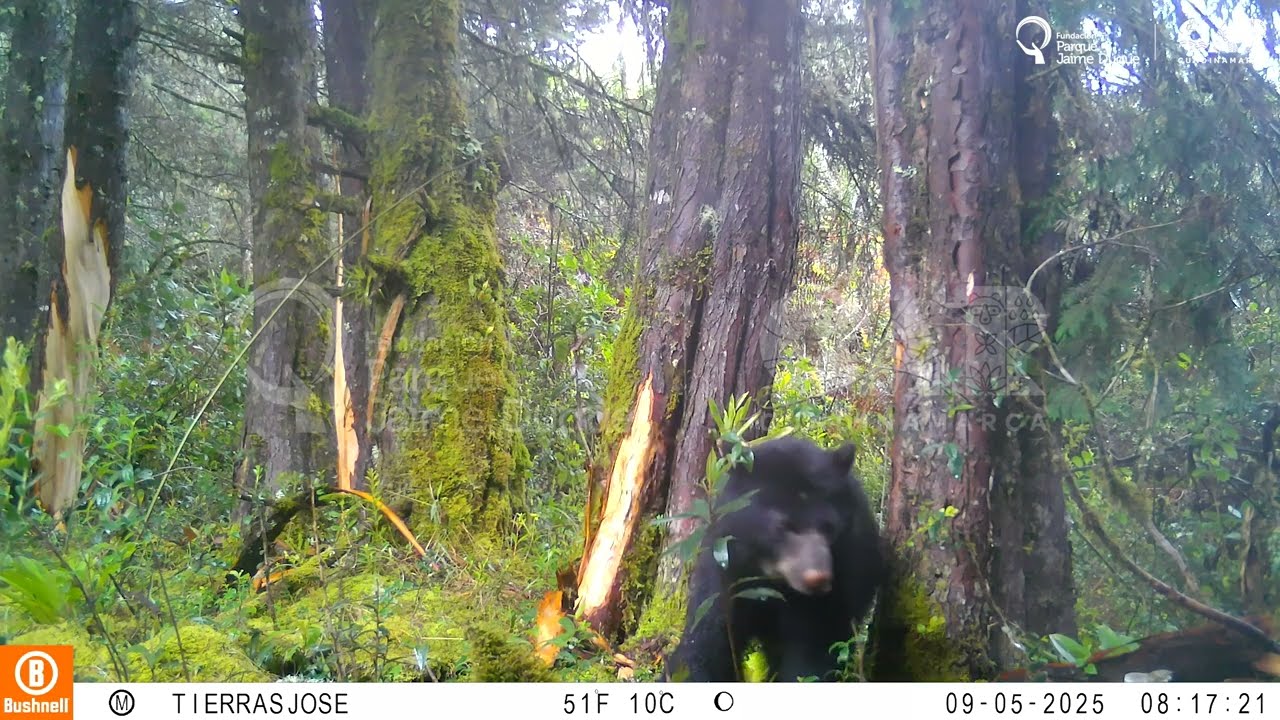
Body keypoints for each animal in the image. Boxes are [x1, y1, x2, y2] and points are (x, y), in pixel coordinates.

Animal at [662, 435, 887, 683]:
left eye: (829, 527)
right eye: (782, 525)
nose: (817, 578)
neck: (770, 575)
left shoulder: (836, 586)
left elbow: (810, 650)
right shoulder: (726, 568)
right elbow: (707, 638)